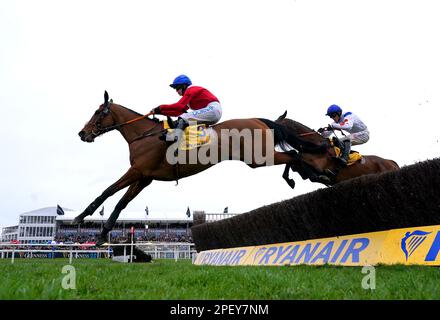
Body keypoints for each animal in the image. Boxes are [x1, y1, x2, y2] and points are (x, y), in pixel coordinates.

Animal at [73, 92, 398, 245]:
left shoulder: (139, 173)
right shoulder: (146, 178)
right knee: (295, 158)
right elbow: (119, 201)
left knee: (294, 158)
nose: (82, 133)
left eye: (98, 113)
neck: (144, 135)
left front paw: (83, 218)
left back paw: (312, 174)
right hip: (257, 159)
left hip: (259, 157)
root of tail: (260, 119)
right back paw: (313, 174)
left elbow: (109, 193)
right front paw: (97, 231)